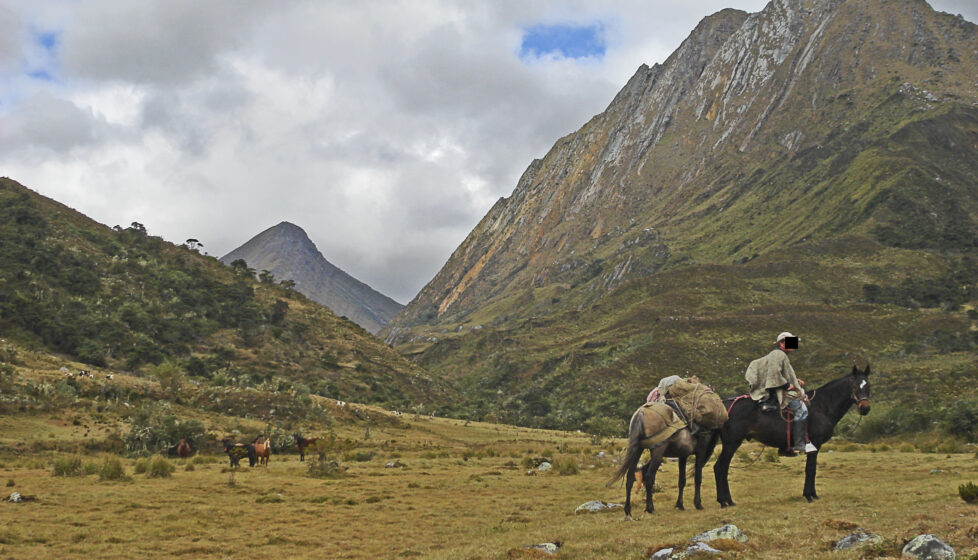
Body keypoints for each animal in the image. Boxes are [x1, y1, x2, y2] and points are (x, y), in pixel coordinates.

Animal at [708, 366, 868, 506]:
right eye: (855, 386)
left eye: (868, 386)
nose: (865, 408)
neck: (823, 406)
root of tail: (723, 404)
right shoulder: (814, 444)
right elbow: (811, 470)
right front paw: (809, 495)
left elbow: (812, 470)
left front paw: (812, 494)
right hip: (732, 443)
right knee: (720, 468)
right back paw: (725, 501)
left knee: (722, 468)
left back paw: (727, 501)